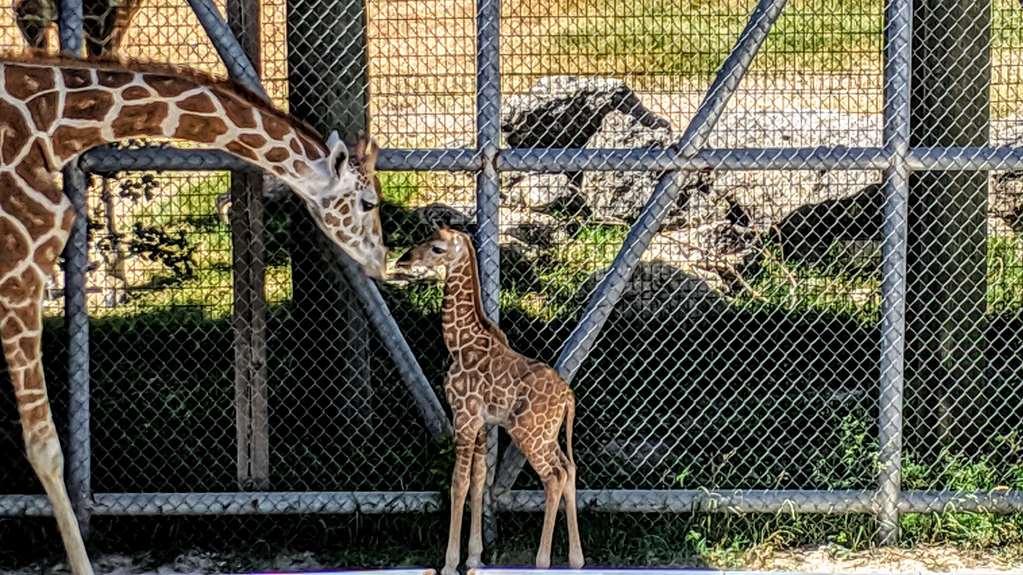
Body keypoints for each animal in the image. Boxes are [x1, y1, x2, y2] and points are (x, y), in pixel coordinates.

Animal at [392, 227, 581, 572]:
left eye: (437, 248)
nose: (403, 261)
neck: (458, 342)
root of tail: (568, 398)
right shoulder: (482, 422)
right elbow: (479, 479)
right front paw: (474, 556)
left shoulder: (463, 416)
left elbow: (458, 483)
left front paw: (450, 563)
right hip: (548, 435)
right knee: (569, 468)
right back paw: (576, 559)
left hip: (528, 434)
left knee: (554, 477)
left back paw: (542, 560)